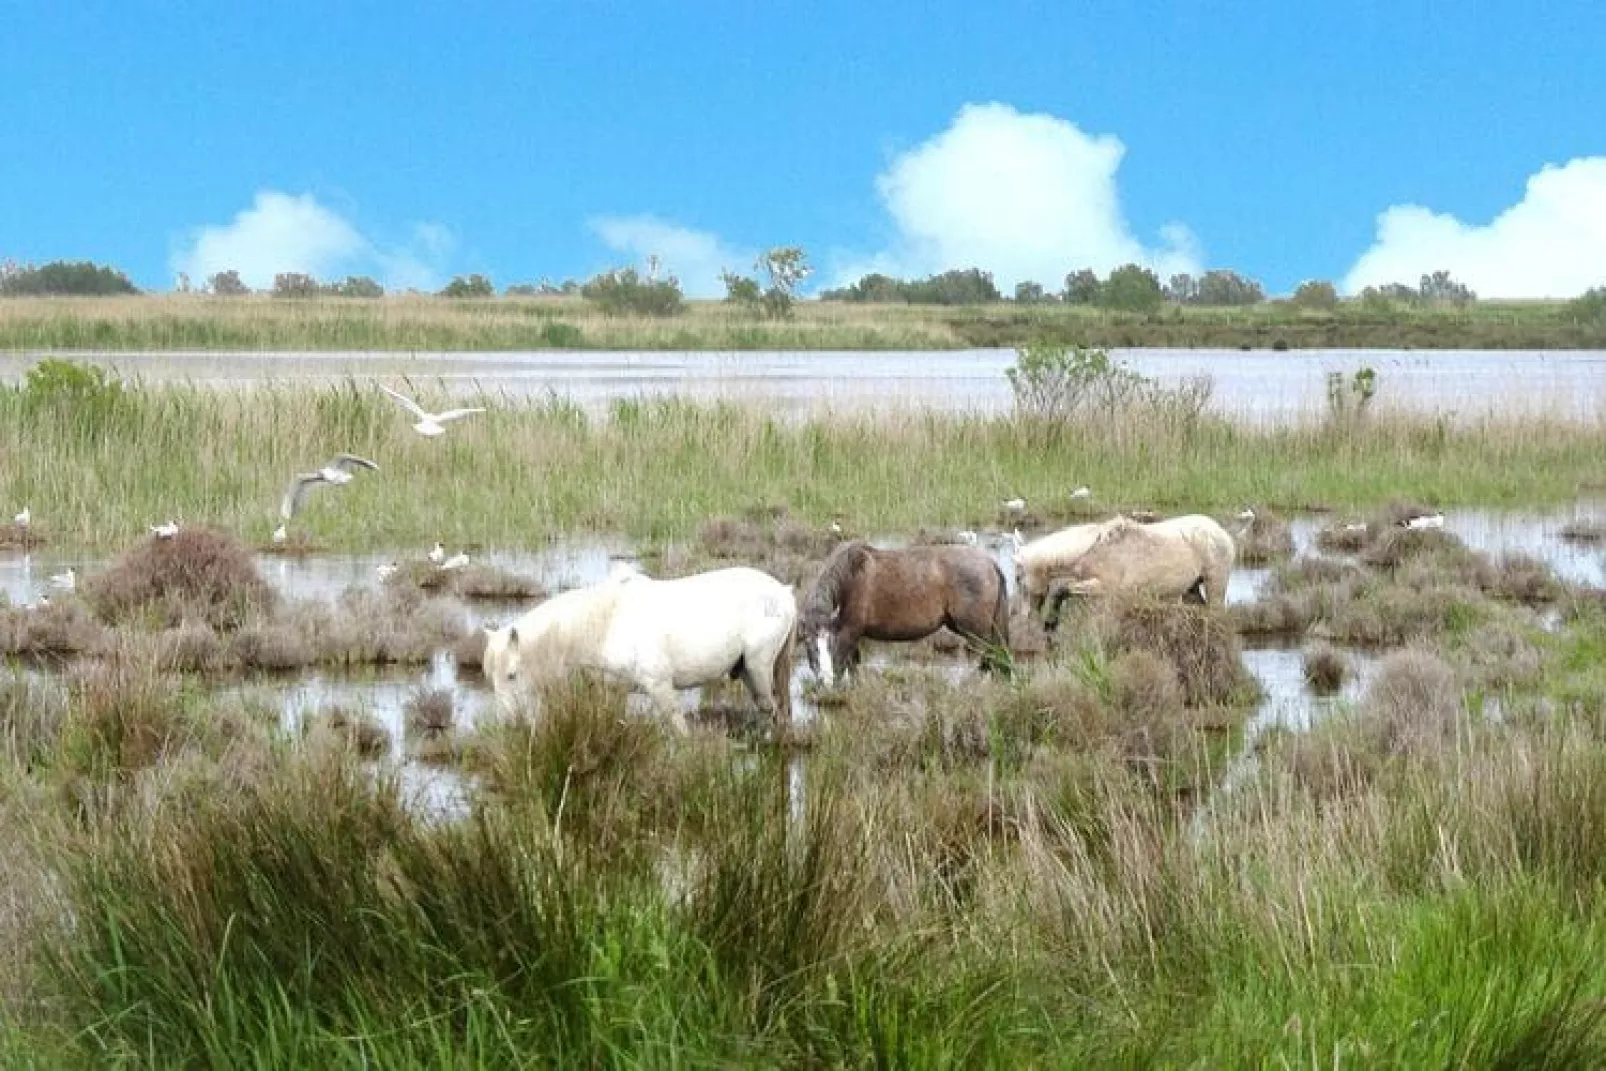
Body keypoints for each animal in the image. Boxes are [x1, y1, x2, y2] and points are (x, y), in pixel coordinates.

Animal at [478, 565, 799, 732]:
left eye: (512, 675)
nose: (508, 724)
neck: (604, 624)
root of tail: (783, 591)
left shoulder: (660, 687)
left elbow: (678, 730)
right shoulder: (614, 692)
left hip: (758, 669)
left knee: (771, 709)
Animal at [799, 545, 1008, 687]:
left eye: (831, 643)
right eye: (809, 644)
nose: (824, 681)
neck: (849, 580)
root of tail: (990, 563)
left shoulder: (849, 633)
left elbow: (844, 665)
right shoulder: (850, 635)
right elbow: (853, 665)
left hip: (976, 633)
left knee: (983, 656)